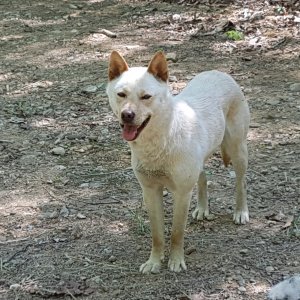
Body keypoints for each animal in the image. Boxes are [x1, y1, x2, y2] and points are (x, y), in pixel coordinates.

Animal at [106, 50, 250, 274]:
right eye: (121, 95)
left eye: (146, 97)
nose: (127, 115)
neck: (160, 140)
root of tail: (219, 72)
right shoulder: (150, 191)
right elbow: (157, 234)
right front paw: (154, 262)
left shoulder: (182, 193)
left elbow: (176, 232)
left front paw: (175, 261)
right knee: (203, 177)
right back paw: (202, 209)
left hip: (238, 150)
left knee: (240, 182)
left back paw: (241, 212)